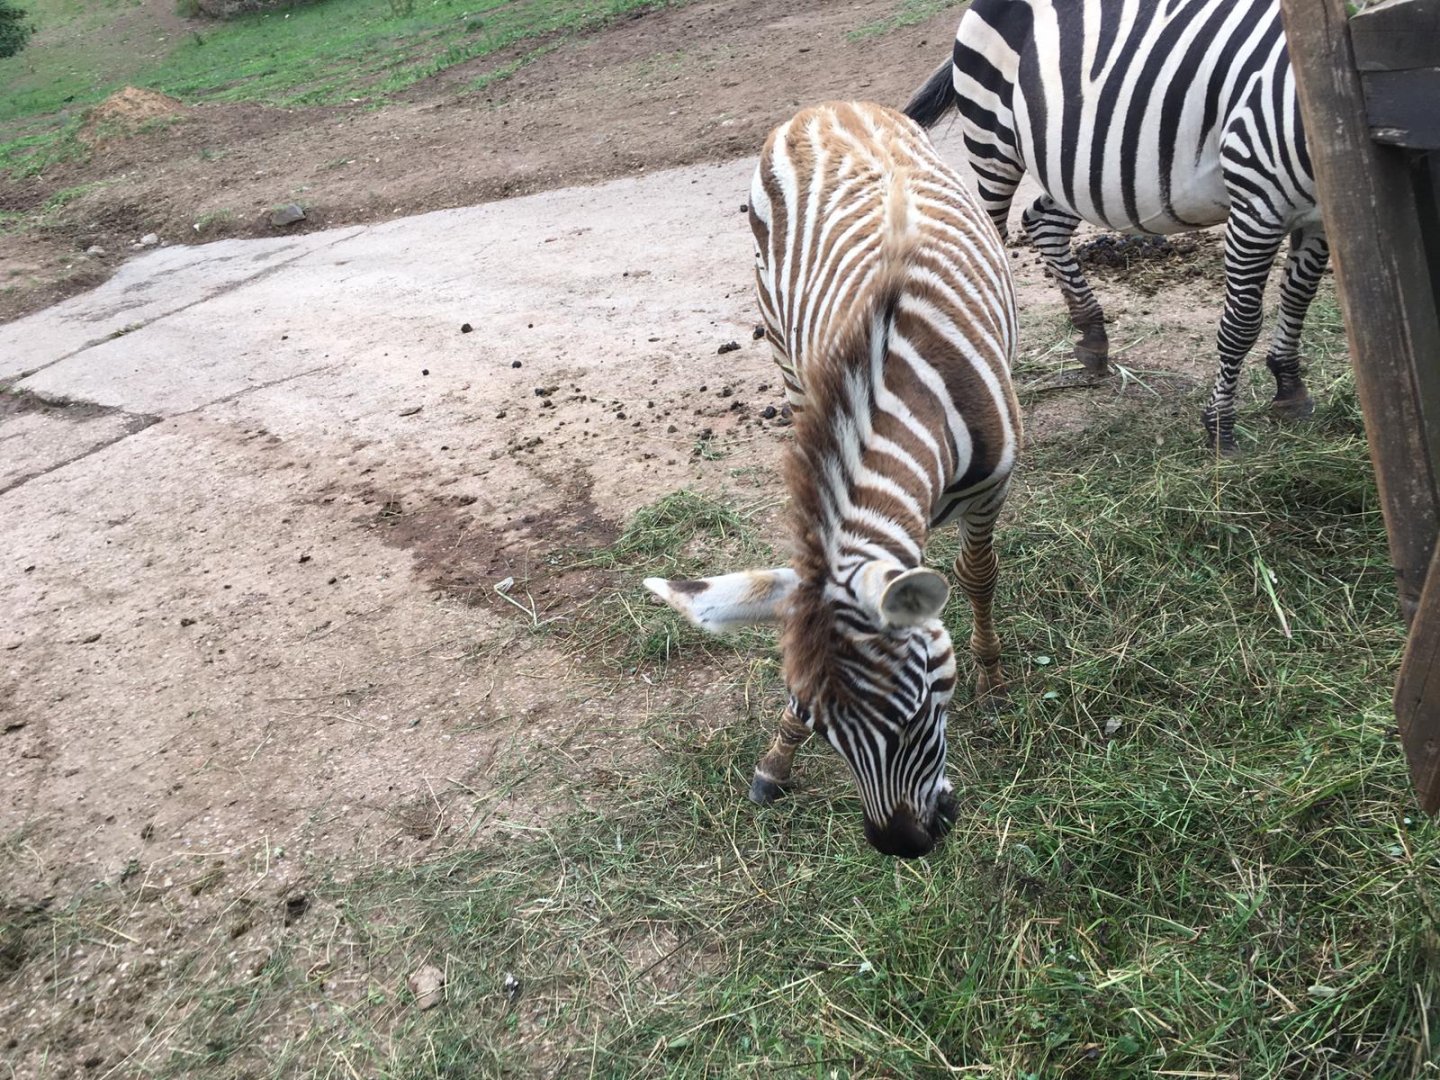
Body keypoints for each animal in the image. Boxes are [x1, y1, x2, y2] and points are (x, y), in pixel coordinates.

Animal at [645, 102, 1021, 858]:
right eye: (819, 725)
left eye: (921, 713)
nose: (903, 846)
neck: (909, 386)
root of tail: (825, 107)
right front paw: (776, 759)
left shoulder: (992, 486)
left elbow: (977, 576)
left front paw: (993, 678)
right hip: (783, 350)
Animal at [904, 0, 1328, 454]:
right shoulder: (1256, 201)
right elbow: (1243, 320)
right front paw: (1221, 428)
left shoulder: (1320, 217)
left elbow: (1298, 300)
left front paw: (1289, 388)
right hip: (992, 139)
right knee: (989, 239)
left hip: (1074, 167)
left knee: (1042, 221)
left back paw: (1092, 337)